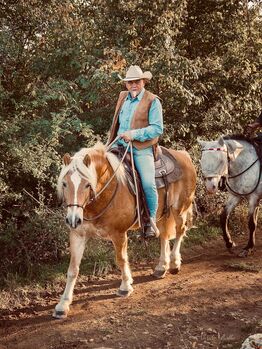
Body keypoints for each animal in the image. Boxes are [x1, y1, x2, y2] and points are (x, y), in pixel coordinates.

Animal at [54, 141, 195, 318]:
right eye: (65, 183)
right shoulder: (78, 235)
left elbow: (121, 259)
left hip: (180, 208)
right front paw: (63, 304)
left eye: (87, 184)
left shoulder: (119, 233)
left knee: (180, 231)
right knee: (163, 236)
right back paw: (161, 267)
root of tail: (184, 155)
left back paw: (175, 264)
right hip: (163, 214)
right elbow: (73, 269)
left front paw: (125, 286)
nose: (73, 219)